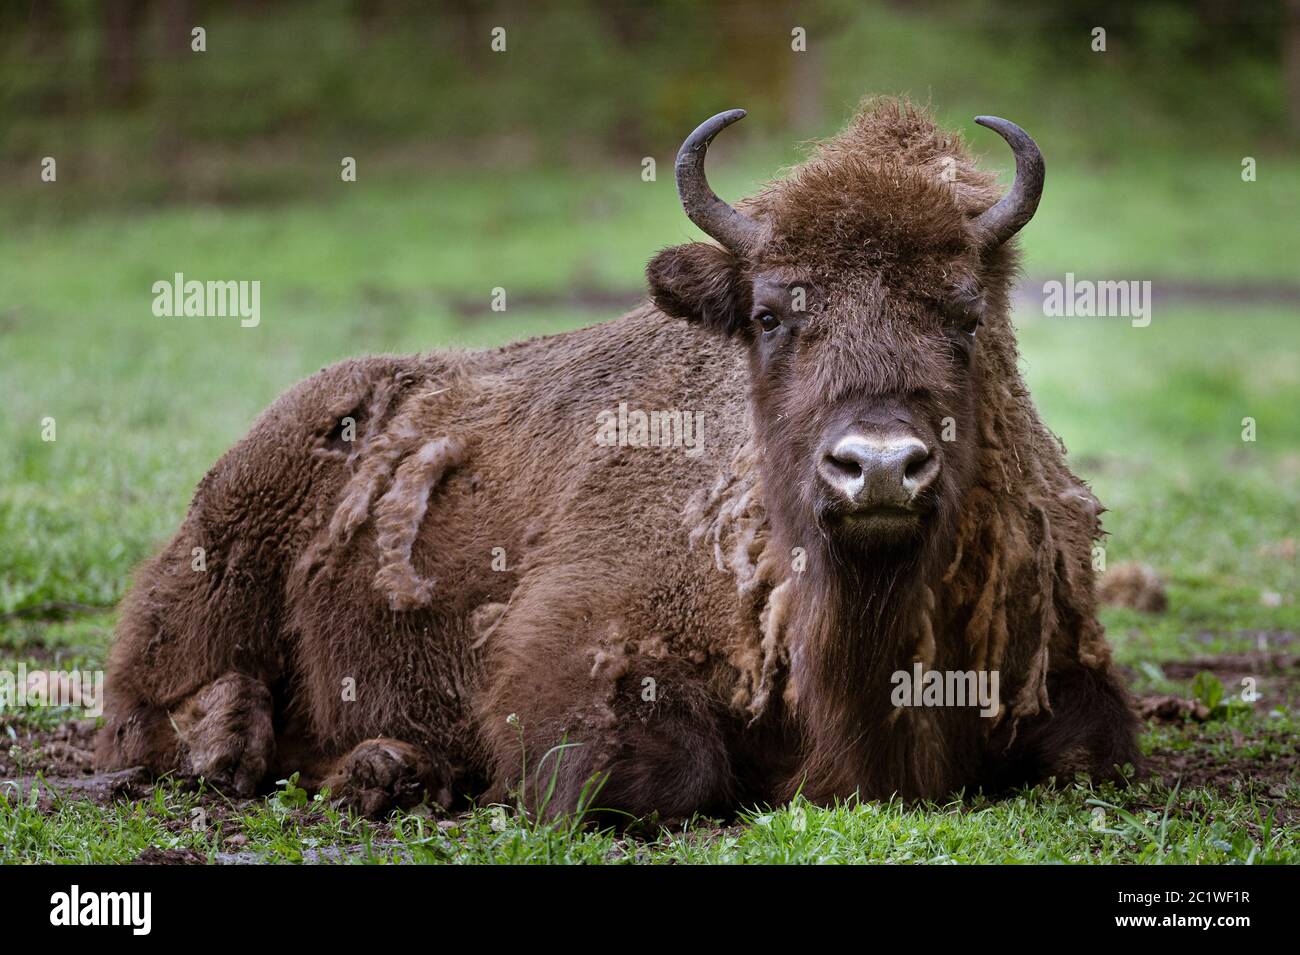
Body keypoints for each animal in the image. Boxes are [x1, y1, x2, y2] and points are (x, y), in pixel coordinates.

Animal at [96, 98, 1138, 821]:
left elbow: (1097, 754)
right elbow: (661, 770)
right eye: (771, 314)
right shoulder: (569, 651)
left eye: (965, 315)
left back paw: (390, 769)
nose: (878, 468)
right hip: (207, 588)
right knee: (148, 711)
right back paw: (257, 753)